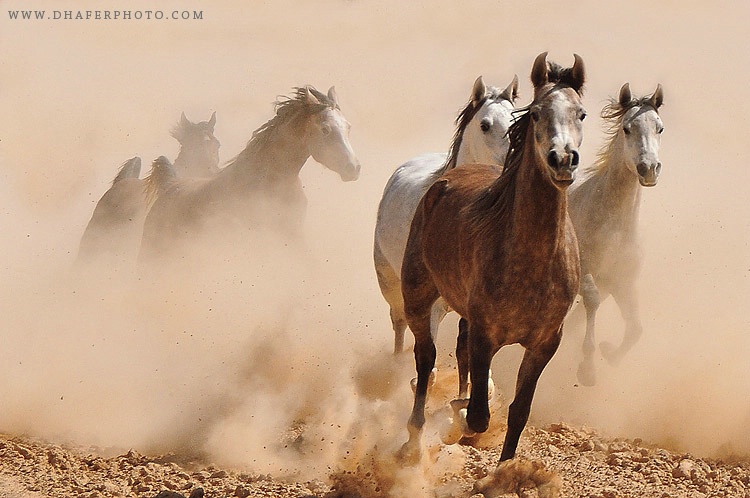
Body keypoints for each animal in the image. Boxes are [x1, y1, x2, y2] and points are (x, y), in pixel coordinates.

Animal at [400, 52, 588, 464]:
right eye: (536, 112)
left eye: (581, 113)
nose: (563, 159)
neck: (531, 261)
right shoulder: (486, 334)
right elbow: (479, 416)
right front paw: (458, 419)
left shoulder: (544, 343)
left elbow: (519, 411)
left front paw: (503, 469)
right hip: (418, 298)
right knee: (425, 360)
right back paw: (414, 437)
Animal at [572, 82, 668, 386]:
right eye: (627, 128)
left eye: (659, 128)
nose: (649, 169)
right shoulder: (586, 271)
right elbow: (591, 300)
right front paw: (587, 368)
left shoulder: (621, 282)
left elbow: (636, 328)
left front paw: (609, 353)